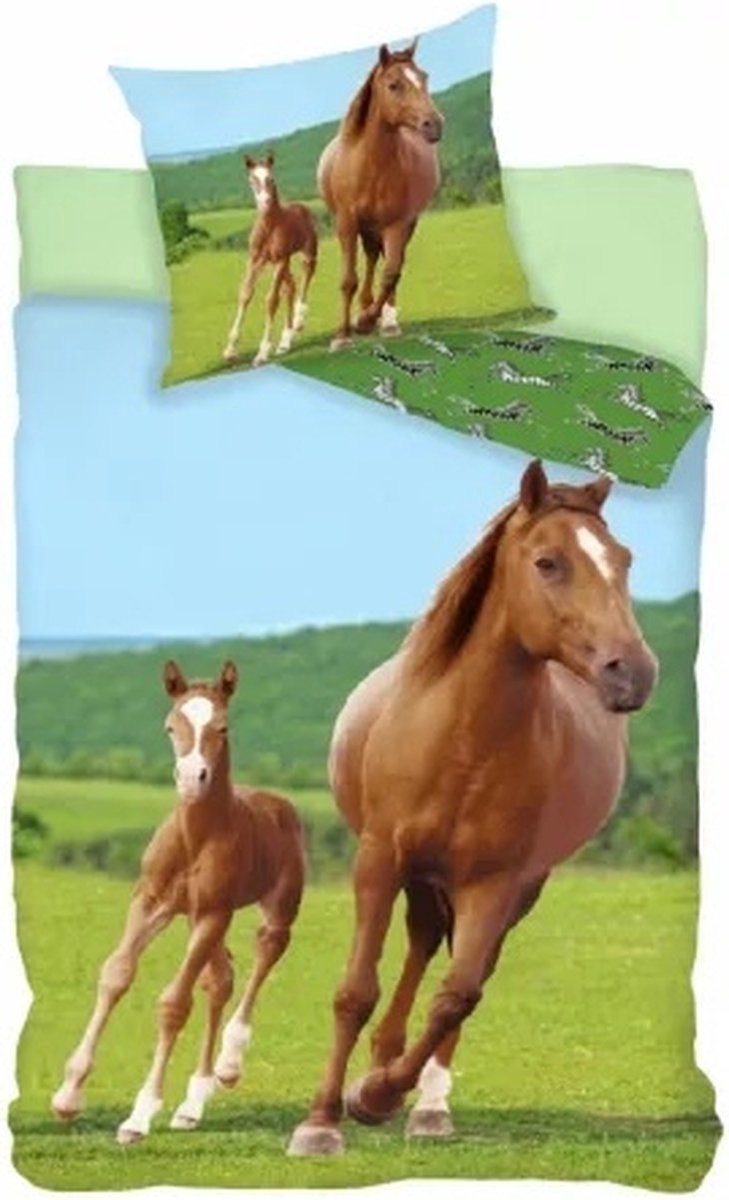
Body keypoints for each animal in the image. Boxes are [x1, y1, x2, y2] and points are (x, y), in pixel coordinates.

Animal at [51, 659, 306, 1144]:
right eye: (171, 726)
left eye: (222, 727)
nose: (191, 778)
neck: (196, 839)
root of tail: (279, 803)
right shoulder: (152, 902)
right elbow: (115, 974)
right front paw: (69, 1094)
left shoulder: (212, 913)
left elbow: (173, 1004)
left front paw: (139, 1115)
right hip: (195, 919)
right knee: (220, 979)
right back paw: (192, 1104)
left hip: (271, 908)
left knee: (265, 952)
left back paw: (228, 1064)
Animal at [223, 152, 318, 366]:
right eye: (252, 180)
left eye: (270, 178)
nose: (265, 201)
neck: (269, 226)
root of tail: (303, 207)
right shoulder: (255, 260)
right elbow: (245, 293)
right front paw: (230, 349)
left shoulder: (281, 259)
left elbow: (271, 300)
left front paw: (263, 352)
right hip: (282, 262)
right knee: (290, 286)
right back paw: (285, 341)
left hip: (305, 254)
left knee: (306, 275)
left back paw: (298, 321)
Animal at [288, 459, 658, 1156]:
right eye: (548, 562)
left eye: (623, 559)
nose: (632, 672)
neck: (462, 738)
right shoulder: (378, 861)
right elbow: (356, 990)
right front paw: (322, 1120)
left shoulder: (495, 881)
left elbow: (457, 995)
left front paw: (379, 1096)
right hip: (420, 876)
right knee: (422, 942)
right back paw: (379, 1065)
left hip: (510, 888)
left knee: (462, 966)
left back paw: (422, 1103)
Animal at [317, 38, 444, 349]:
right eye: (394, 85)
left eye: (423, 77)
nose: (434, 125)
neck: (370, 165)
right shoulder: (347, 223)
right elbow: (348, 279)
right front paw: (342, 334)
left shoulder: (397, 224)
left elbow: (391, 273)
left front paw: (366, 321)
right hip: (366, 227)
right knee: (372, 257)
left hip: (399, 225)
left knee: (387, 263)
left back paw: (386, 321)